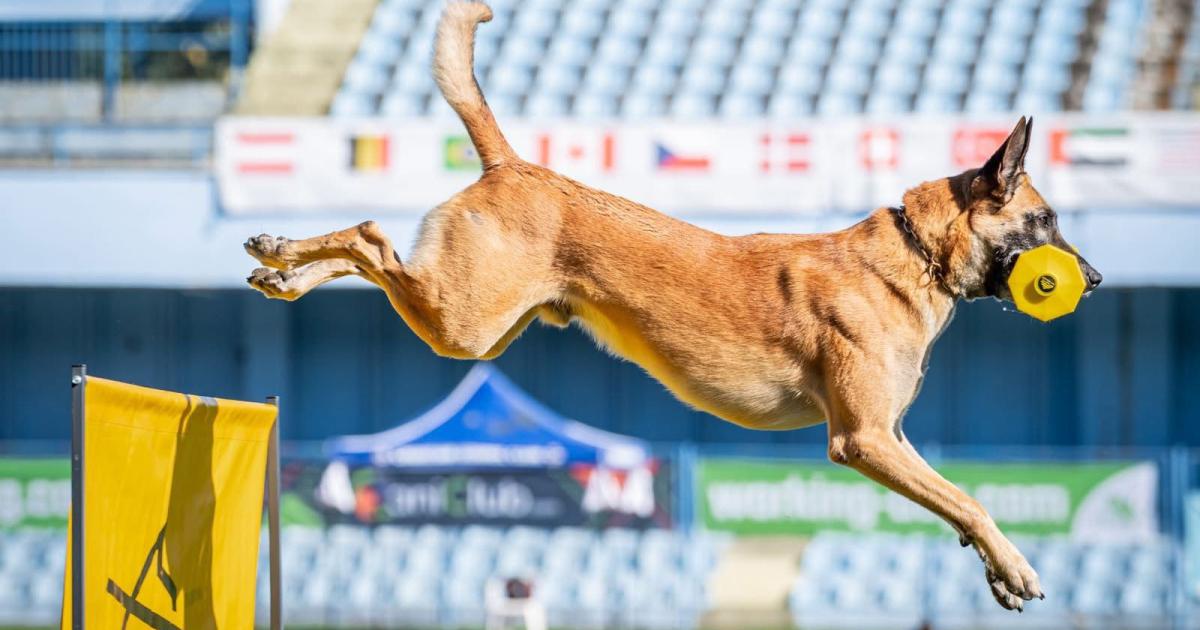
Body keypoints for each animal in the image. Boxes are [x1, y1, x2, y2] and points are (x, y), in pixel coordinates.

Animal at [245, 1, 1102, 611]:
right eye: (1046, 222)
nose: (1093, 279)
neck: (914, 251)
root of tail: (515, 165)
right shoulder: (863, 440)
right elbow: (970, 498)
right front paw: (1016, 563)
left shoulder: (891, 437)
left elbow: (954, 502)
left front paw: (993, 570)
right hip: (463, 321)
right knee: (368, 235)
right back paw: (282, 253)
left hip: (480, 328)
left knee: (375, 253)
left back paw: (284, 273)